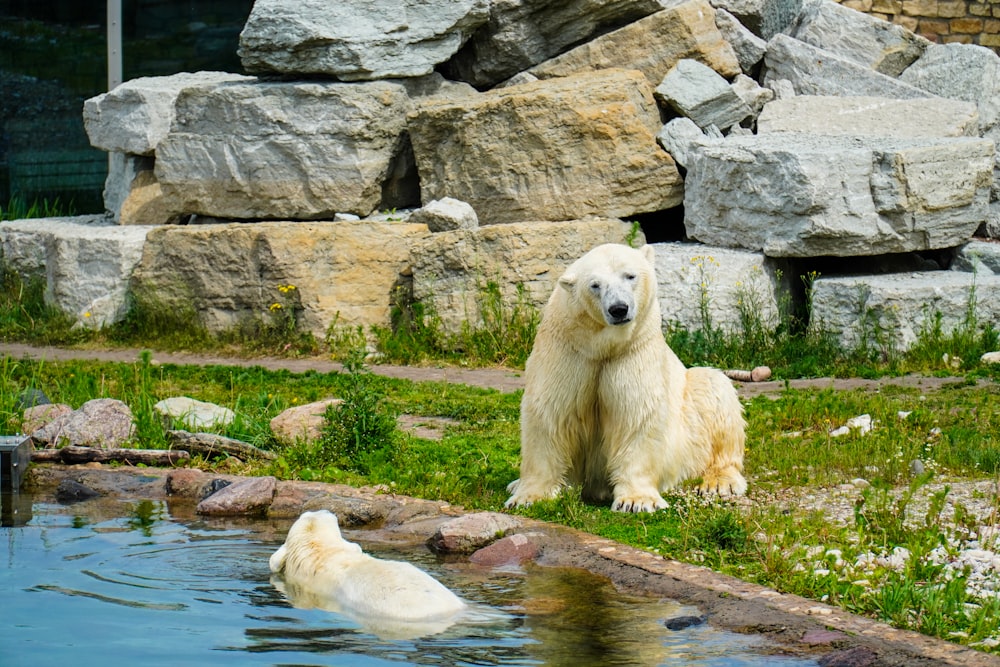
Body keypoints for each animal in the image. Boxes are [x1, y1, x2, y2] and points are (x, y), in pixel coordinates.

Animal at [504, 243, 748, 516]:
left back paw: (718, 482)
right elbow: (550, 413)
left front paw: (636, 501)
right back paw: (515, 484)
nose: (619, 309)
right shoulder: (568, 349)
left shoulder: (633, 350)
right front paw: (529, 497)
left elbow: (636, 414)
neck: (601, 345)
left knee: (713, 388)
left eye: (630, 276)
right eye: (595, 285)